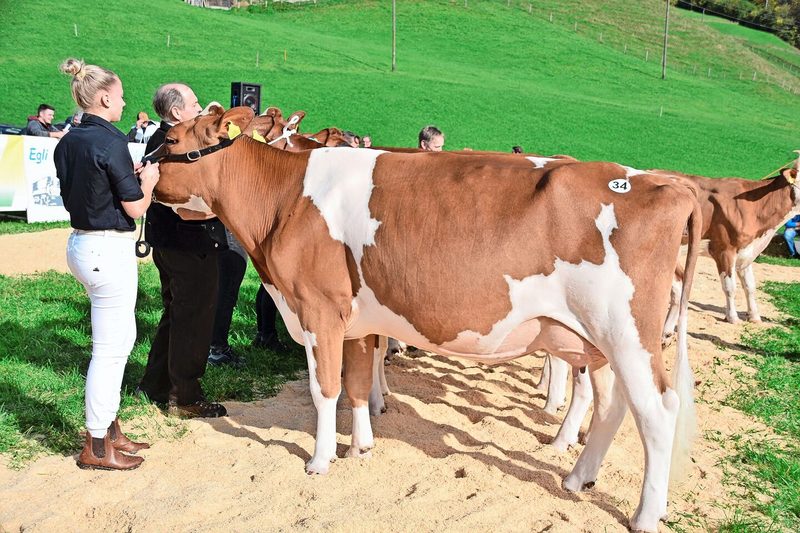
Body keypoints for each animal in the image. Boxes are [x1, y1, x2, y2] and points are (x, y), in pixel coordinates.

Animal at [149, 106, 701, 532]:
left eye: (170, 139)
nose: (141, 177)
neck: (284, 198)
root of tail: (663, 183)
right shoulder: (358, 319)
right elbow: (356, 385)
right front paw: (362, 447)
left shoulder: (318, 309)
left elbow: (324, 388)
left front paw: (320, 460)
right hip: (598, 341)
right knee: (611, 406)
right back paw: (576, 477)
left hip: (626, 334)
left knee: (657, 411)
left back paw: (645, 515)